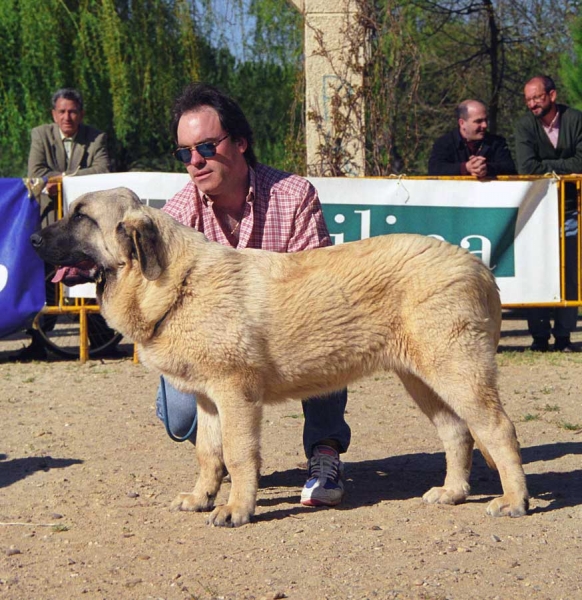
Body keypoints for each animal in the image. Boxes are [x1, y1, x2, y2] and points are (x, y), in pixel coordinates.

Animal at [30, 186, 528, 524]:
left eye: (81, 216)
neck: (178, 283)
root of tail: (478, 265)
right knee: (457, 433)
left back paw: (514, 500)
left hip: (457, 372)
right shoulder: (209, 400)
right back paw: (452, 492)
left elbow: (237, 455)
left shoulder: (235, 395)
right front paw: (202, 498)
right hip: (423, 380)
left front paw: (236, 508)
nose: (33, 241)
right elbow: (208, 454)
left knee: (498, 428)